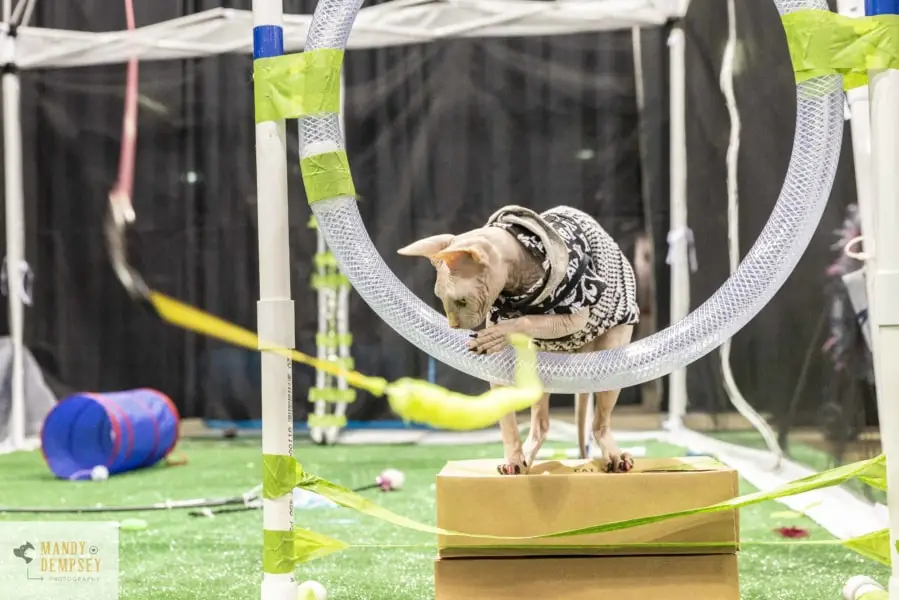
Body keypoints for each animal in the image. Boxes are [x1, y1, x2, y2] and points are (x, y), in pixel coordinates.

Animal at [400, 207, 640, 478]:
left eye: (461, 301)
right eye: (439, 298)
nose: (453, 326)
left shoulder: (576, 309)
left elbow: (527, 320)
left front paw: (498, 335)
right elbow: (507, 420)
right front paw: (514, 458)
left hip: (613, 346)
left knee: (600, 419)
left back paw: (614, 455)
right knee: (541, 424)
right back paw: (528, 454)